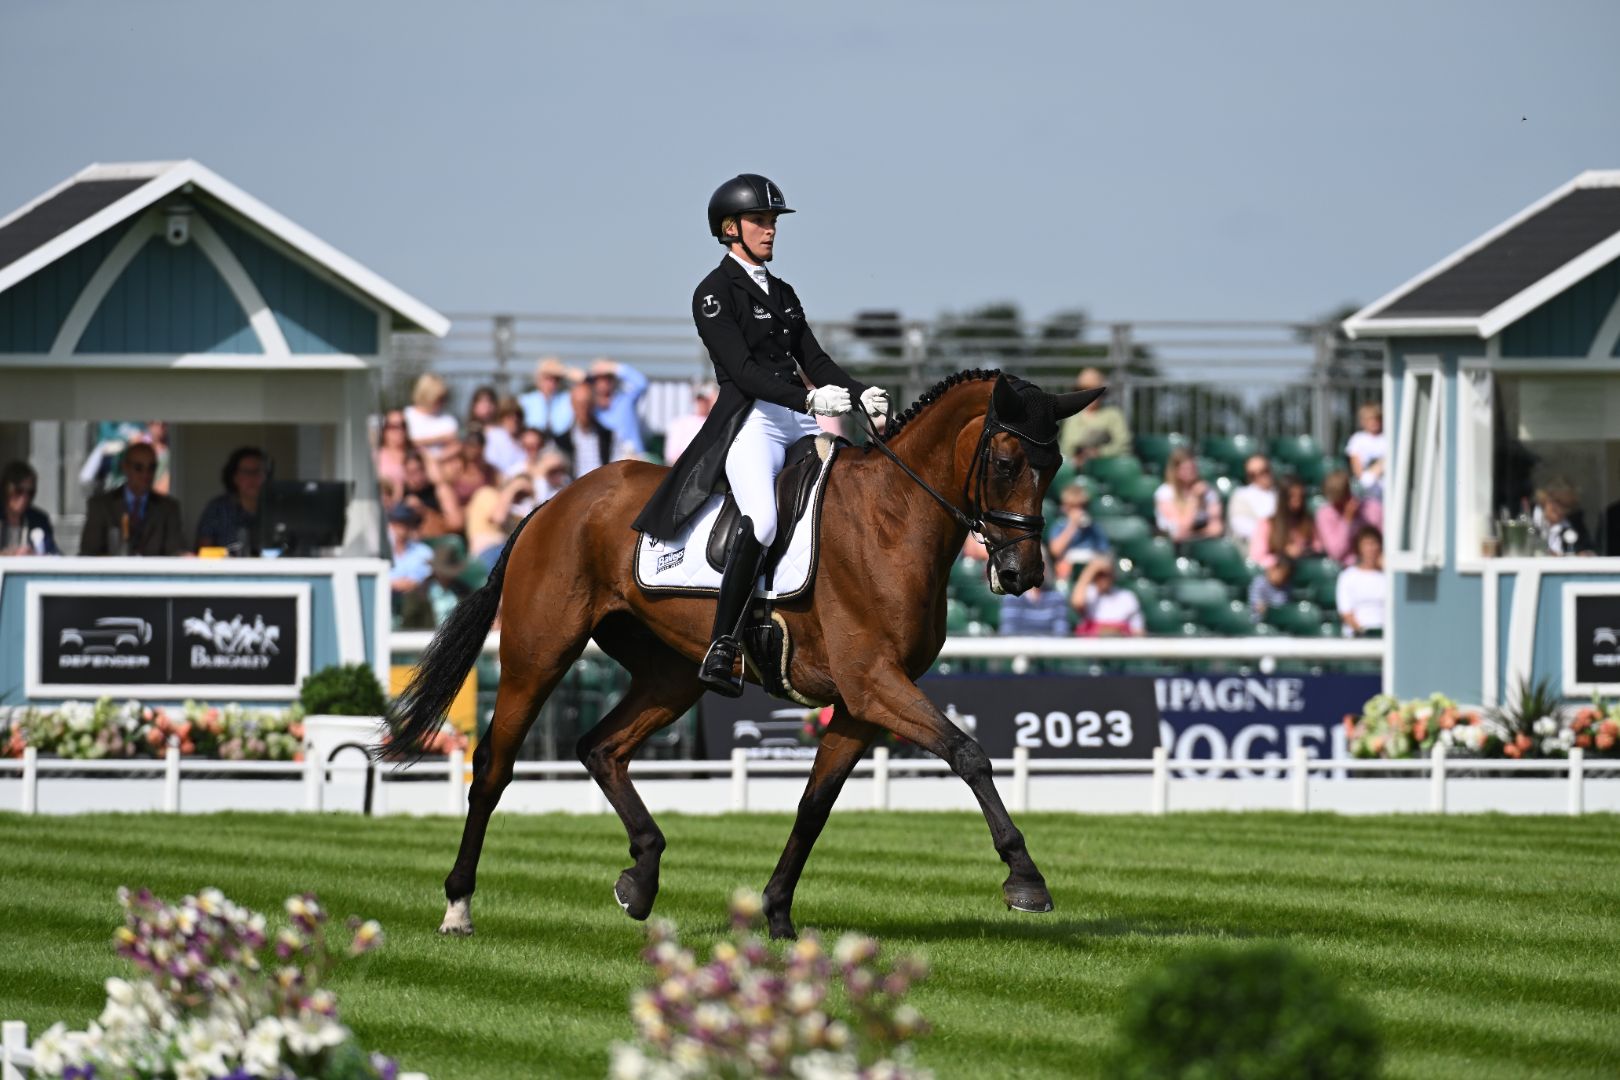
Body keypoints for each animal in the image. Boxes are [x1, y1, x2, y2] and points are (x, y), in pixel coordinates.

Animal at [384, 370, 1102, 940]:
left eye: (1055, 466)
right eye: (1006, 463)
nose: (1023, 575)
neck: (892, 519)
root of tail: (553, 503)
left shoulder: (859, 705)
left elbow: (814, 806)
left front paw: (777, 913)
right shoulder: (875, 684)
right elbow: (968, 753)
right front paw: (1026, 879)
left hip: (674, 674)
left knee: (601, 747)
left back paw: (641, 877)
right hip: (539, 656)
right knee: (493, 767)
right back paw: (459, 908)